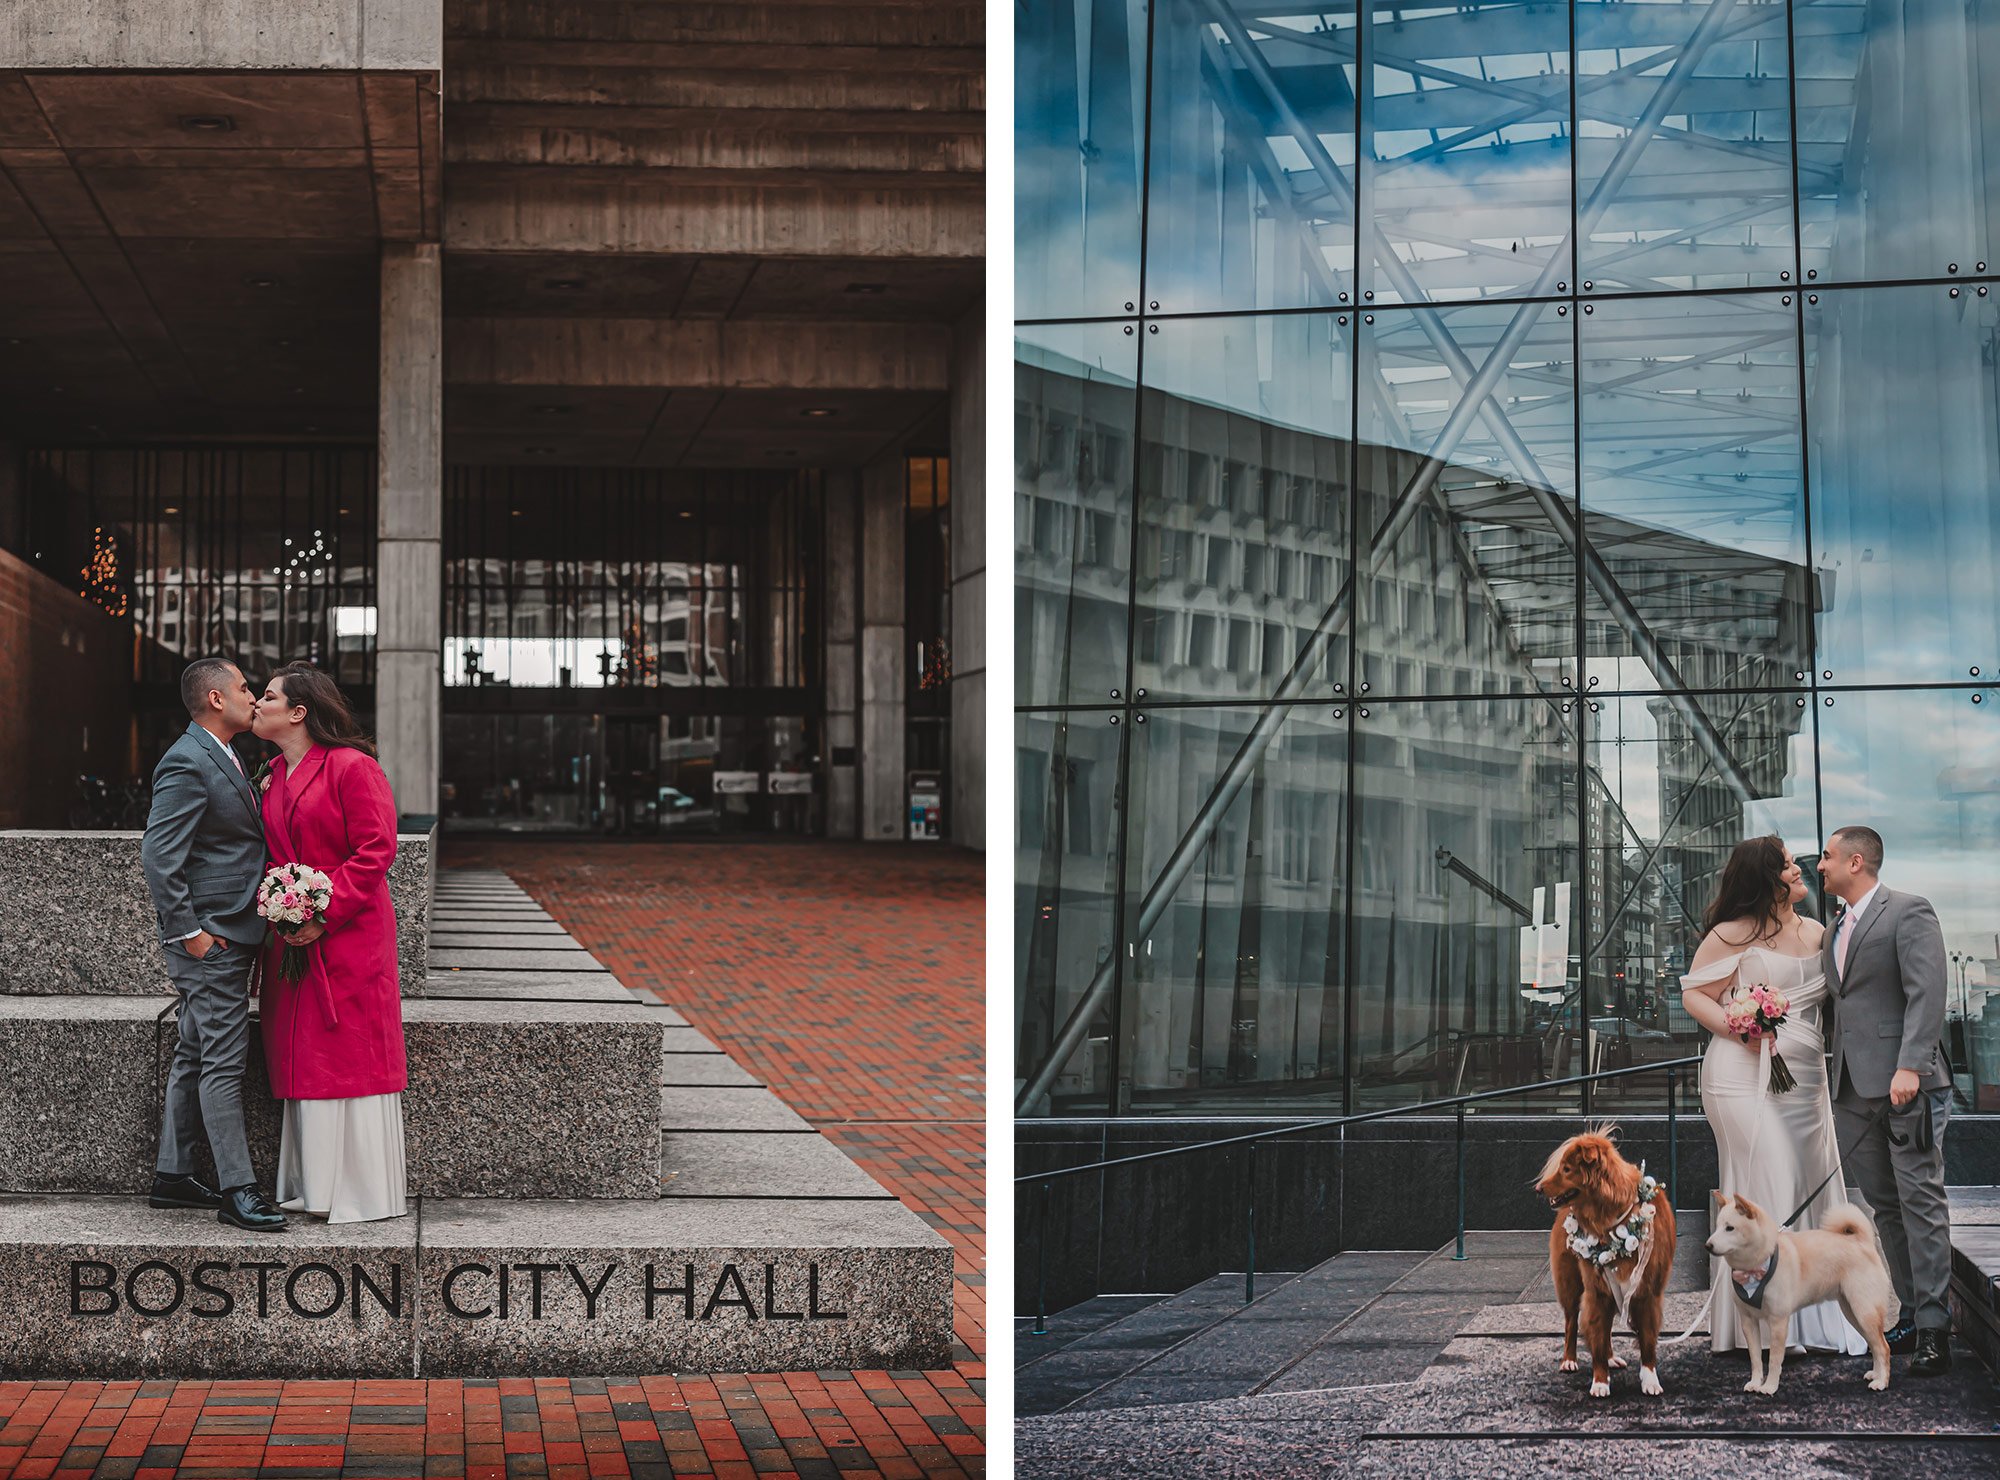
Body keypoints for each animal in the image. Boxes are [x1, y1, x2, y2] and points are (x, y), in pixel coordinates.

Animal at [1536, 1136, 1680, 1400]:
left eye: (1567, 1169)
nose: (1539, 1189)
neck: (1612, 1217)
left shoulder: (1648, 1293)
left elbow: (1647, 1340)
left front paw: (1650, 1379)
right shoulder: (1596, 1291)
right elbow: (1597, 1337)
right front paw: (1600, 1382)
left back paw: (1612, 1358)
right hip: (1570, 1283)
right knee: (1571, 1322)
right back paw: (1569, 1360)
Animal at [1712, 1192, 1896, 1384]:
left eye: (1730, 1228)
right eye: (1716, 1227)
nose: (1708, 1245)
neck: (1757, 1267)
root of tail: (1862, 1241)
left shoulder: (1778, 1321)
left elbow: (1774, 1360)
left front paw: (1769, 1387)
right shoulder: (1748, 1321)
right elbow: (1755, 1359)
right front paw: (1755, 1384)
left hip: (1864, 1312)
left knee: (1883, 1348)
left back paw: (1882, 1382)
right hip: (1853, 1314)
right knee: (1874, 1346)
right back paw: (1876, 1374)